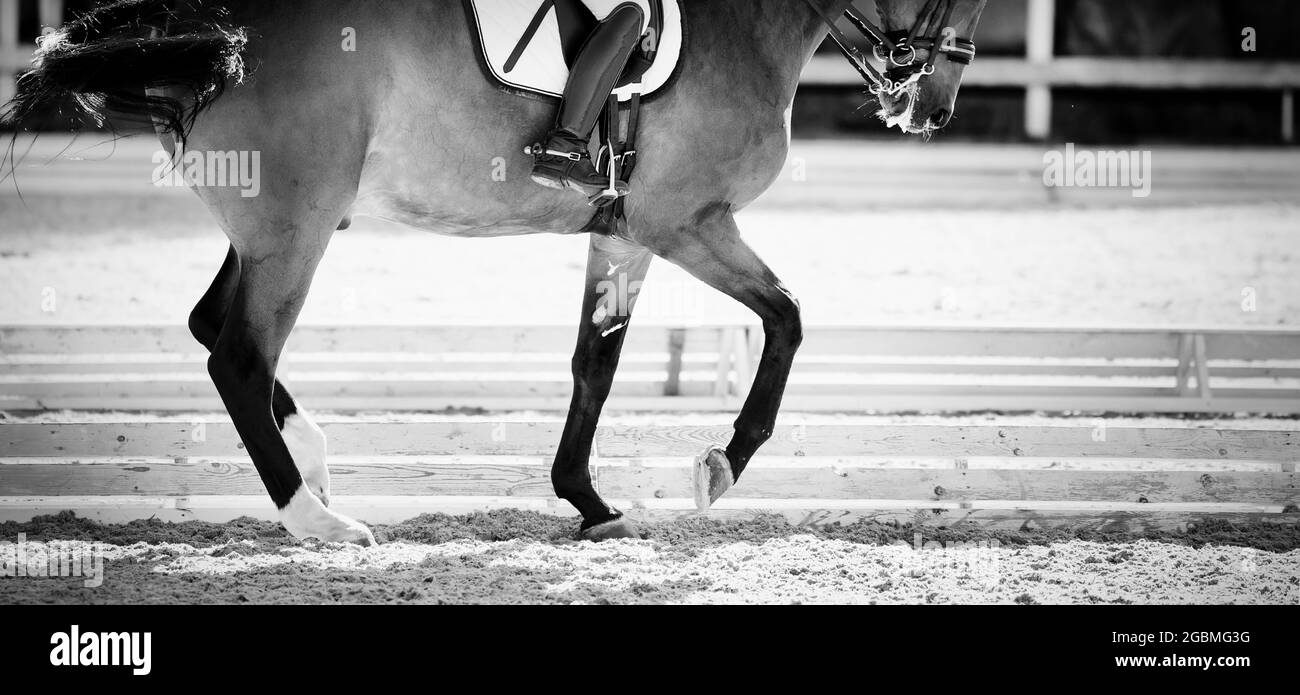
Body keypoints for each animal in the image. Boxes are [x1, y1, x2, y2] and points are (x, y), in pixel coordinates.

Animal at [2, 0, 982, 543]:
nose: (932, 109)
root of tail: (217, 32)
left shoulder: (625, 231)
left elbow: (596, 364)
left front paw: (590, 501)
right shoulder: (685, 221)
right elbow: (788, 317)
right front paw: (721, 465)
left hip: (273, 229)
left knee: (216, 329)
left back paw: (314, 463)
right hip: (296, 228)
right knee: (240, 354)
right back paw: (314, 518)